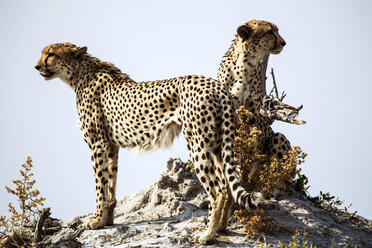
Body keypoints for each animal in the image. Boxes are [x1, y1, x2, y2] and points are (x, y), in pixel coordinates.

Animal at [34, 42, 262, 244]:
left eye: (50, 54)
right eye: (44, 53)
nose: (36, 66)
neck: (80, 73)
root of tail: (217, 86)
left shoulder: (97, 144)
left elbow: (100, 185)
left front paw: (96, 221)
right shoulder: (111, 146)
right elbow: (110, 184)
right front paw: (107, 220)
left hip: (197, 143)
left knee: (218, 190)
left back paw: (207, 236)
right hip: (216, 143)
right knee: (226, 183)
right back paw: (222, 228)